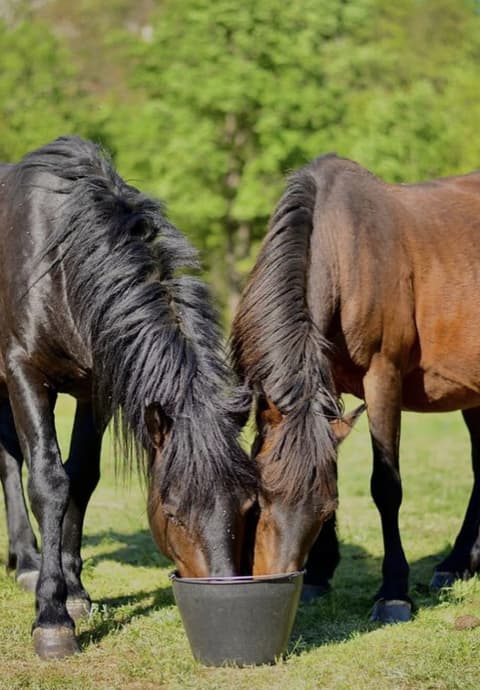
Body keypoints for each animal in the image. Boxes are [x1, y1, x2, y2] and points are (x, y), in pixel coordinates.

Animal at [0, 136, 258, 659]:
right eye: (173, 510)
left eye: (247, 505)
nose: (224, 589)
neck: (60, 263)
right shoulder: (23, 372)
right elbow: (48, 482)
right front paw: (52, 618)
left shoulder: (96, 389)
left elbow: (81, 478)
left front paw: (74, 593)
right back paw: (28, 562)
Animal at [230, 152, 480, 624]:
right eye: (259, 496)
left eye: (325, 509)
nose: (276, 579)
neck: (344, 249)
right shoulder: (326, 379)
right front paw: (316, 577)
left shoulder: (383, 377)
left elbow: (386, 486)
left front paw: (394, 593)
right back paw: (458, 563)